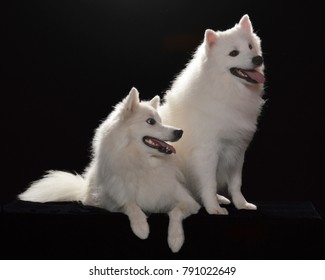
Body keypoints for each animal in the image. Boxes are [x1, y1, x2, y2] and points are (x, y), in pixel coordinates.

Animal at [19, 88, 200, 254]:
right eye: (151, 121)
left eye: (161, 121)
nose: (179, 132)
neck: (142, 163)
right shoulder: (113, 201)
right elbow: (130, 204)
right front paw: (141, 227)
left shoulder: (188, 201)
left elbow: (175, 212)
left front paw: (175, 239)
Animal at [158, 14, 264, 215]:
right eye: (233, 53)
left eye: (250, 46)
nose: (258, 59)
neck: (226, 91)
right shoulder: (207, 152)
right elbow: (210, 184)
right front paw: (213, 208)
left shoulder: (237, 151)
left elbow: (236, 184)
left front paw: (241, 204)